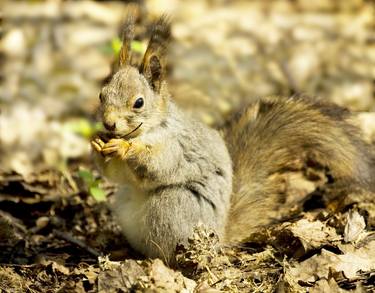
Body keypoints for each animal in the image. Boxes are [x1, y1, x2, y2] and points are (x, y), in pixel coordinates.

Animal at [91, 15, 375, 262]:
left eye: (138, 103)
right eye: (102, 95)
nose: (108, 123)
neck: (148, 129)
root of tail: (219, 238)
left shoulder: (177, 144)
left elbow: (158, 164)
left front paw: (124, 147)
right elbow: (117, 174)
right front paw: (97, 144)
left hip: (172, 207)